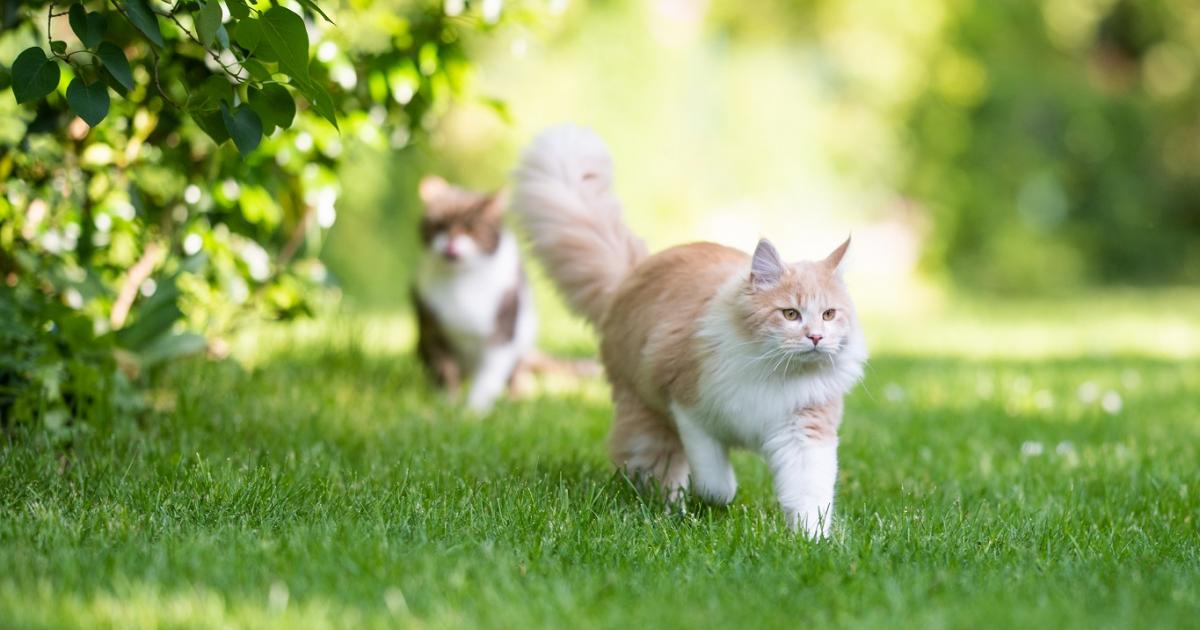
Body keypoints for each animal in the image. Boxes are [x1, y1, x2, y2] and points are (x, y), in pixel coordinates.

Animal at [417, 176, 540, 412]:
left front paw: (474, 410)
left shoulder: (503, 330)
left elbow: (489, 377)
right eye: (440, 226)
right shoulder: (432, 330)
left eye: (470, 227)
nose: (451, 242)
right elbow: (446, 370)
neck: (462, 280)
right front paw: (448, 403)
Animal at [511, 126, 868, 535]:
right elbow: (716, 480)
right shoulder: (689, 411)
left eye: (829, 314)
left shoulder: (803, 433)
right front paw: (716, 500)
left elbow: (809, 496)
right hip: (648, 420)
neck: (774, 373)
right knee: (648, 466)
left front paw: (811, 540)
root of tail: (632, 274)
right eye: (790, 314)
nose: (816, 338)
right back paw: (668, 509)